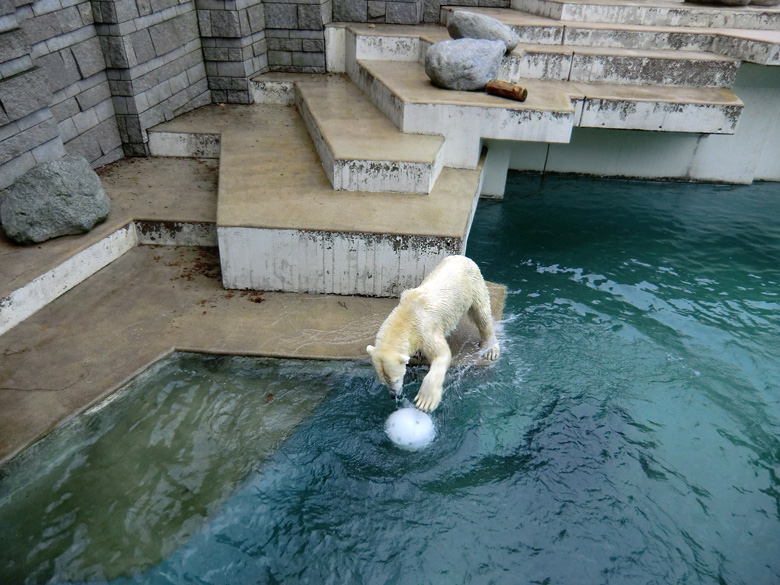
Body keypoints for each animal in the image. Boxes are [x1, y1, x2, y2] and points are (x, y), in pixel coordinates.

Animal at [368, 254, 500, 410]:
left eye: (396, 379)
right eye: (383, 382)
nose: (394, 396)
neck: (407, 316)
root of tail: (462, 257)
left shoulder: (425, 329)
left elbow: (442, 354)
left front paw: (426, 399)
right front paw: (418, 352)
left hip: (474, 284)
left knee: (482, 314)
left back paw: (491, 348)